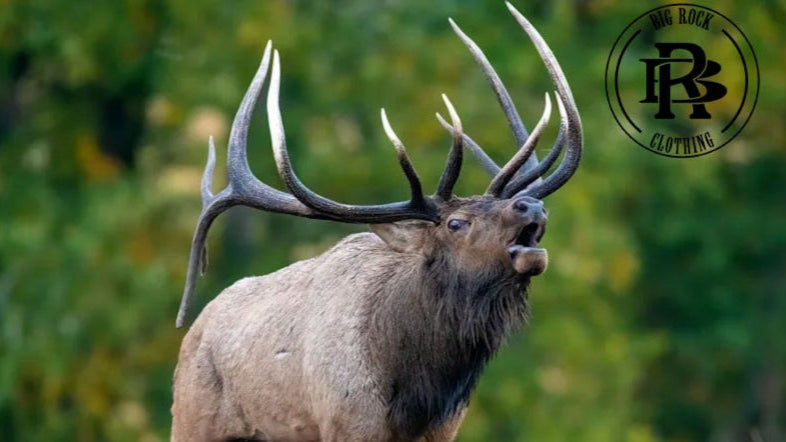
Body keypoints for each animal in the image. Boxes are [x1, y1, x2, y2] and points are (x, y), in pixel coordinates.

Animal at [171, 3, 582, 441]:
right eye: (455, 223)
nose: (531, 207)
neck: (416, 396)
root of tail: (193, 331)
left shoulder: (445, 430)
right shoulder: (348, 422)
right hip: (191, 419)